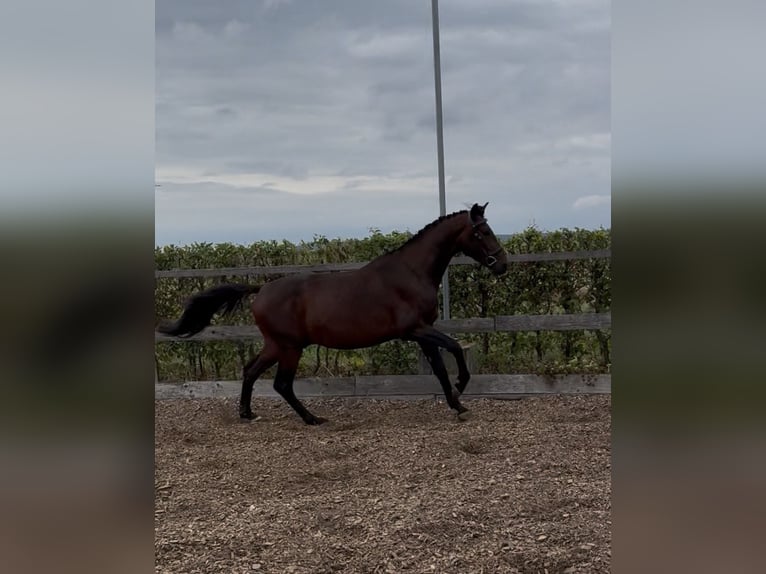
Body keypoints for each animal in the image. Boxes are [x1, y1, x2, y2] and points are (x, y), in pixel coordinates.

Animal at [157, 203, 508, 424]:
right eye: (482, 232)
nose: (502, 264)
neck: (410, 272)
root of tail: (261, 290)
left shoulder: (423, 332)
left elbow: (439, 368)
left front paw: (457, 404)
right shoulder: (414, 329)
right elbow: (454, 348)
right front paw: (461, 387)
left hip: (276, 345)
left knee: (250, 371)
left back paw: (248, 414)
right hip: (290, 347)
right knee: (281, 384)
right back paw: (313, 419)